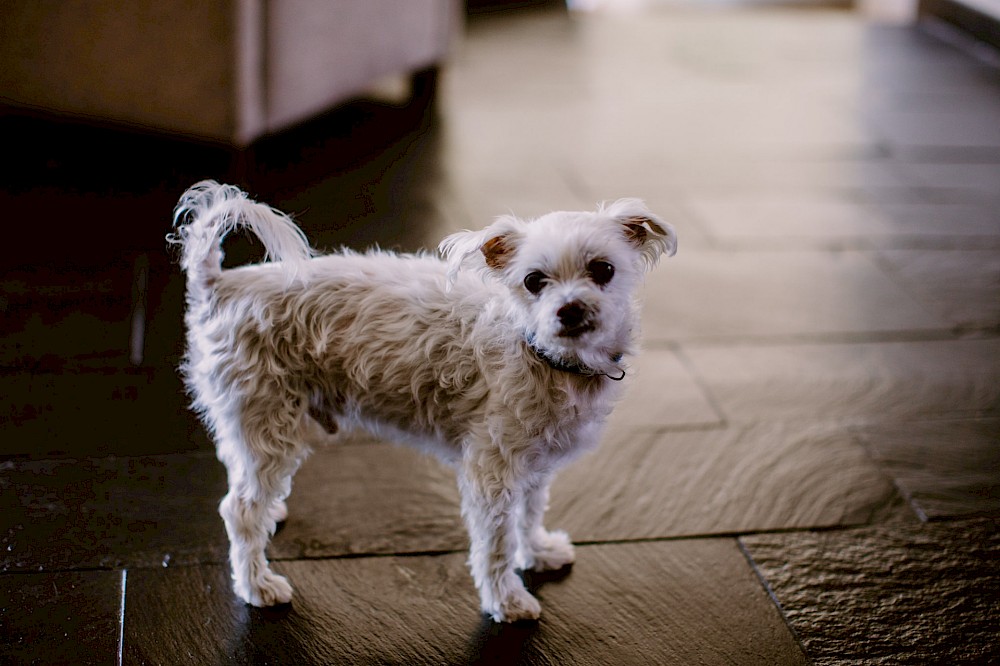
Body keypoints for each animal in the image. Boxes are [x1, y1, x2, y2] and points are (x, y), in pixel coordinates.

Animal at [172, 179, 676, 620]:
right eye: (534, 281)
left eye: (603, 270)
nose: (570, 309)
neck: (541, 353)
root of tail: (218, 285)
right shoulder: (492, 472)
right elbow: (497, 544)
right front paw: (507, 601)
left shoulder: (533, 464)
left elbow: (529, 515)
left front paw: (537, 551)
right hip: (268, 421)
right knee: (239, 510)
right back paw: (257, 585)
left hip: (248, 424)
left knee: (241, 477)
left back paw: (272, 514)